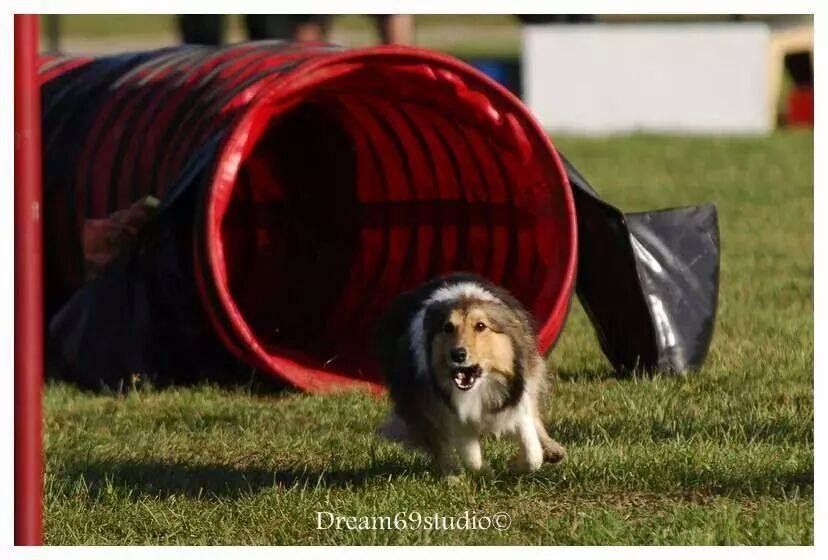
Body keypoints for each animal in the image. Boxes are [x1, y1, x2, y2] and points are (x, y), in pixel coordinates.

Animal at [374, 274, 564, 474]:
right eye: (448, 327)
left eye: (480, 326)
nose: (458, 354)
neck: (479, 388)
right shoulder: (448, 413)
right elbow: (471, 457)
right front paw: (485, 472)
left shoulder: (517, 397)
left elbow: (532, 452)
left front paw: (515, 465)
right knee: (440, 448)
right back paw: (452, 475)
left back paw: (554, 450)